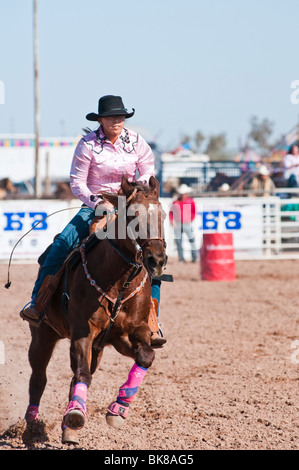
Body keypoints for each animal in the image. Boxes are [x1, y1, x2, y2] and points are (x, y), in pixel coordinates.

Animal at [24, 175, 168, 444]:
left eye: (162, 215)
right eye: (132, 215)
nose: (157, 260)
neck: (119, 281)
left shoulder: (132, 332)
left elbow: (145, 356)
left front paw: (118, 410)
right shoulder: (83, 331)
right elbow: (82, 374)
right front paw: (76, 416)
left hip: (101, 347)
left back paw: (67, 425)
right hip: (42, 336)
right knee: (39, 377)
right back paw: (32, 425)